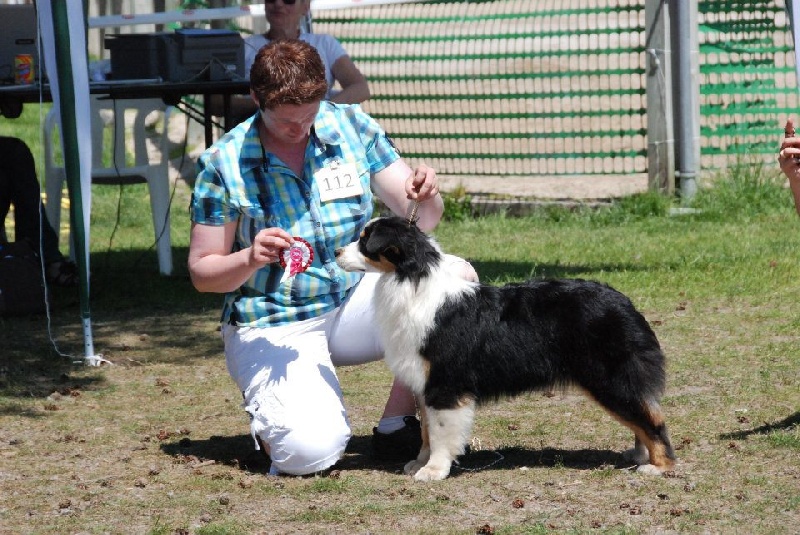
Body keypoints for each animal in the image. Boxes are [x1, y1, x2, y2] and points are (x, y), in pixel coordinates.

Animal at [332, 216, 676, 484]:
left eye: (365, 240)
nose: (335, 252)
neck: (410, 279)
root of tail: (624, 301)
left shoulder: (445, 384)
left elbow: (441, 433)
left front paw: (434, 470)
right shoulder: (424, 383)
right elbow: (427, 430)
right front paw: (420, 462)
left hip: (608, 378)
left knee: (652, 419)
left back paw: (659, 467)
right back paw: (639, 455)